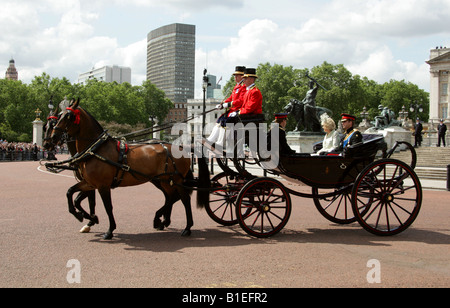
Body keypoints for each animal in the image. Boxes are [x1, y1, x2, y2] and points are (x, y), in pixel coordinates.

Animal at [49, 100, 211, 239]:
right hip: (164, 180)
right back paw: (161, 220)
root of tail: (183, 147)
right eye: (59, 116)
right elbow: (71, 194)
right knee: (170, 197)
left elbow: (107, 207)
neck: (95, 149)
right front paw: (84, 216)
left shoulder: (102, 185)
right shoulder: (90, 183)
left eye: (68, 116)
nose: (52, 138)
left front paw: (108, 229)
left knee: (184, 199)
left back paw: (186, 227)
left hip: (174, 180)